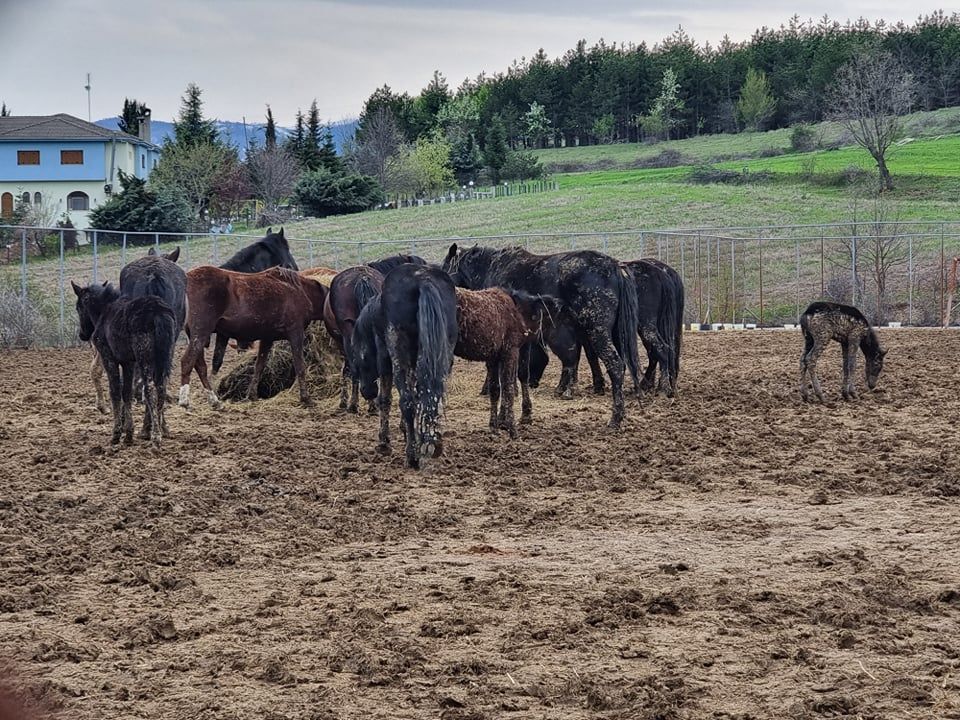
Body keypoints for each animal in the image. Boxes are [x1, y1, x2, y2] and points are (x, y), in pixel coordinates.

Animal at [180, 266, 330, 410]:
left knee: (200, 366)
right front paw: (306, 398)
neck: (301, 291)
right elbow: (300, 366)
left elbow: (259, 366)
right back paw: (185, 401)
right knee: (187, 361)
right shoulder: (296, 334)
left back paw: (214, 401)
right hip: (201, 333)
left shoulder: (267, 339)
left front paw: (251, 395)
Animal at [322, 266, 382, 414]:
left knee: (353, 367)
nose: (370, 392)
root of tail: (362, 277)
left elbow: (347, 370)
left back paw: (355, 404)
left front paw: (345, 401)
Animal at [454, 288, 560, 438]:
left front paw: (495, 426)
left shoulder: (494, 356)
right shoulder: (511, 351)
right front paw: (512, 427)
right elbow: (509, 386)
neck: (518, 311)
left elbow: (496, 388)